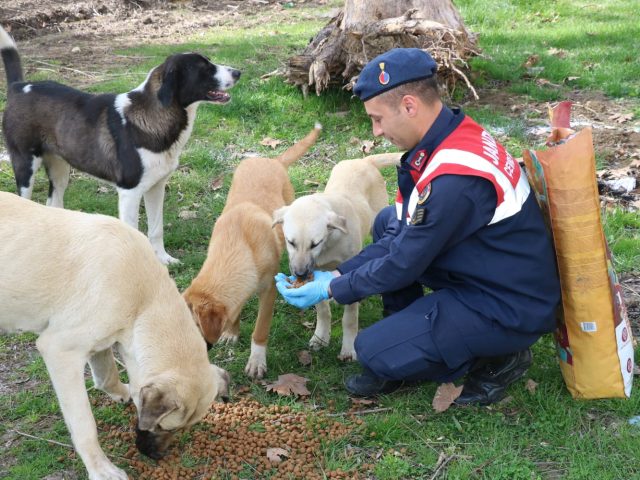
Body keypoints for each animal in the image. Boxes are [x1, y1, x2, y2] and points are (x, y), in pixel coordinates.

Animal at [0, 27, 240, 262]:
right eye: (204, 68)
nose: (238, 72)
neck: (156, 114)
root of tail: (19, 86)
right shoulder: (129, 193)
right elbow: (133, 231)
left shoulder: (156, 187)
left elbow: (156, 229)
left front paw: (163, 259)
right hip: (25, 166)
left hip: (60, 171)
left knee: (54, 204)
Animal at [0, 191, 230, 480]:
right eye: (163, 427)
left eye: (180, 429)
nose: (157, 457)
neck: (144, 300)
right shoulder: (60, 352)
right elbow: (85, 425)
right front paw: (101, 469)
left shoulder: (102, 342)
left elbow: (107, 376)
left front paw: (125, 391)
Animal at [181, 124, 322, 378]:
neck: (239, 243)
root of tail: (272, 160)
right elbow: (235, 310)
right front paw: (231, 332)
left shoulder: (268, 291)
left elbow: (260, 330)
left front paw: (256, 362)